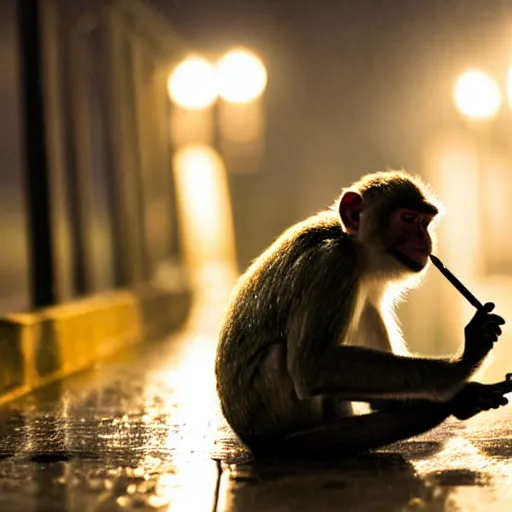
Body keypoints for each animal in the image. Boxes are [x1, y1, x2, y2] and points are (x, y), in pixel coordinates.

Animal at [213, 170, 508, 458]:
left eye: (425, 221)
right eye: (408, 219)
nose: (426, 243)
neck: (350, 240)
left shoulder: (368, 290)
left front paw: (463, 395)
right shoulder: (335, 262)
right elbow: (312, 367)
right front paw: (465, 362)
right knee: (277, 358)